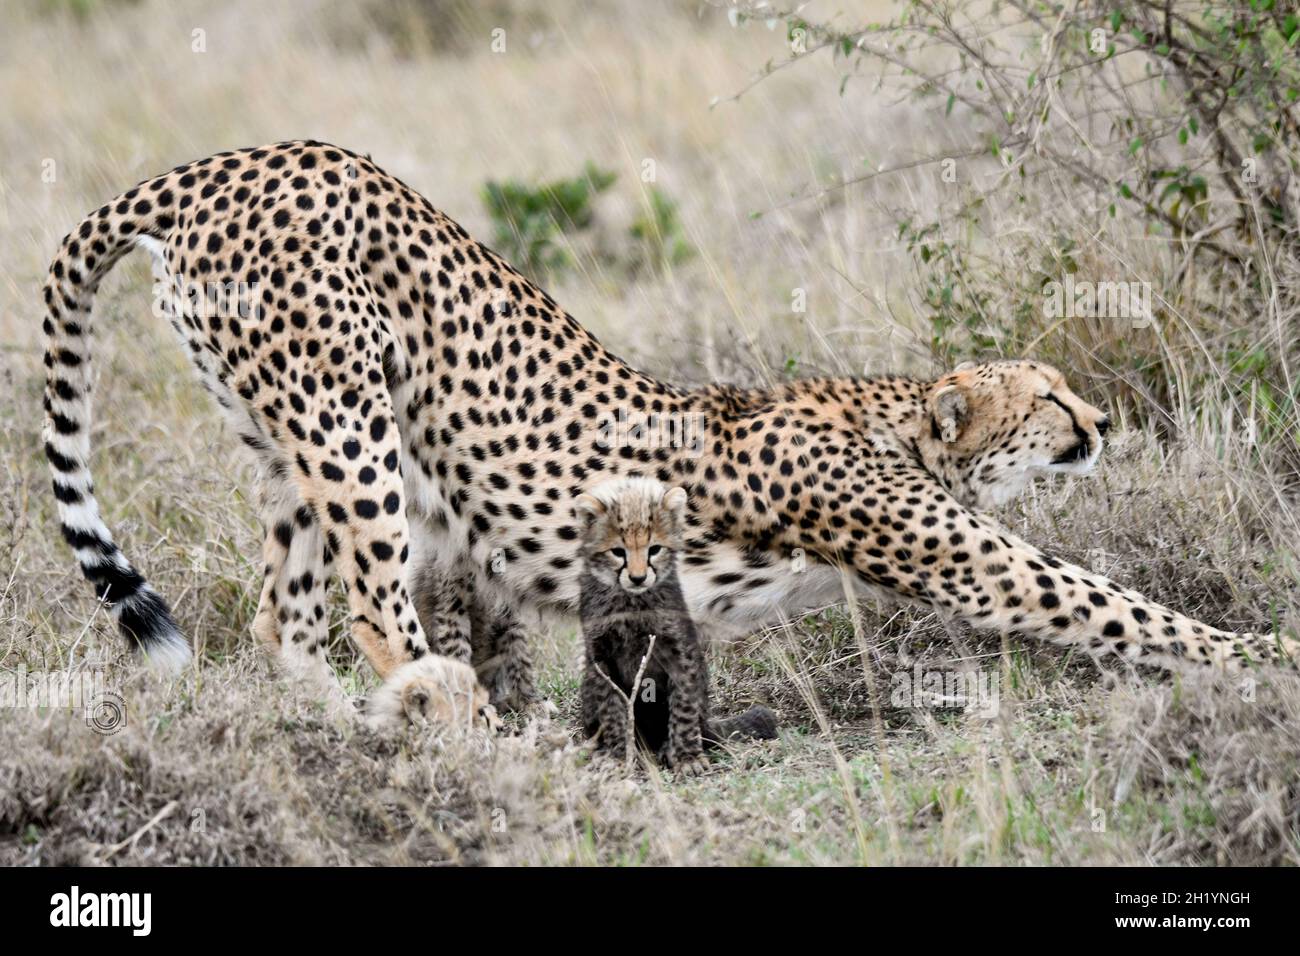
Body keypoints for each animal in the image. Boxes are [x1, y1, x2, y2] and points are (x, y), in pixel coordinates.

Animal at [43, 136, 1300, 717]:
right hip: (350, 429)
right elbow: (1107, 599)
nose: (1101, 415)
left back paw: (351, 731)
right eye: (1044, 396)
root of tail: (218, 162)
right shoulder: (969, 556)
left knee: (283, 617)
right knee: (375, 612)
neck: (900, 419)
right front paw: (1267, 656)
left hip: (292, 437)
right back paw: (483, 740)